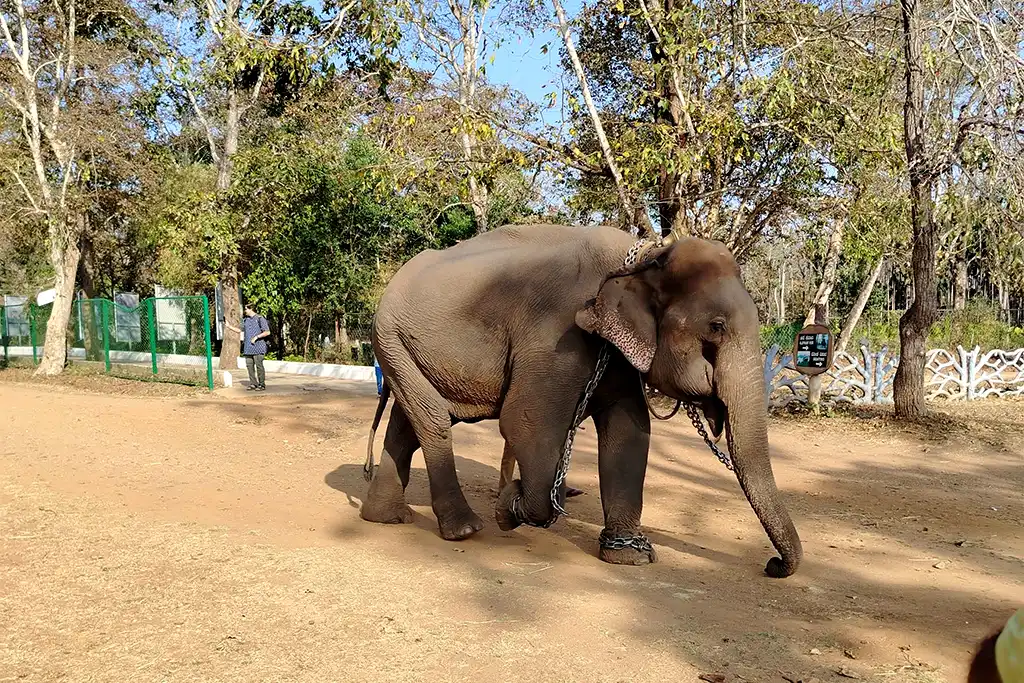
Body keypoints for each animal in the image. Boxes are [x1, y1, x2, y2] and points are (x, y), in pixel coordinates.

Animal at [359, 222, 802, 578]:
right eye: (716, 327)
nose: (772, 565)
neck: (643, 254)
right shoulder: (558, 332)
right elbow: (524, 421)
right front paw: (509, 509)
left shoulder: (617, 354)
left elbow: (629, 430)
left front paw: (630, 557)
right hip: (389, 337)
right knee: (433, 420)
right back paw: (465, 529)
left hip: (404, 349)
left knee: (409, 424)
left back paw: (386, 517)